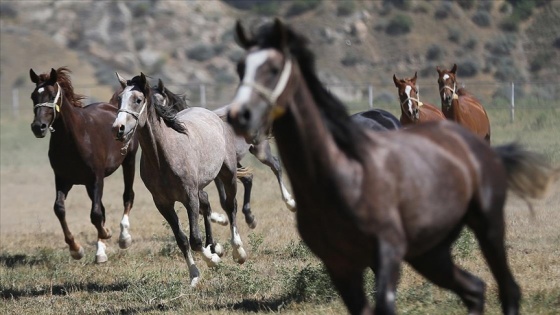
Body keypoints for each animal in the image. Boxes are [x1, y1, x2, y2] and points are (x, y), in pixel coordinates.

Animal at [29, 66, 139, 264]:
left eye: (51, 95)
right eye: (33, 96)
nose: (38, 127)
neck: (73, 139)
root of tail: (112, 106)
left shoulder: (97, 178)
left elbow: (95, 214)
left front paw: (108, 233)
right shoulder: (63, 179)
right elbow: (60, 209)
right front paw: (76, 249)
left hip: (129, 161)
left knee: (128, 196)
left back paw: (123, 238)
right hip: (88, 184)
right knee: (102, 209)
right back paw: (100, 253)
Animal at [111, 73, 247, 288]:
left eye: (138, 100)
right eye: (118, 99)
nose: (118, 128)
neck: (163, 156)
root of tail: (210, 114)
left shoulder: (189, 197)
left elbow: (195, 240)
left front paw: (213, 261)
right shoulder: (163, 203)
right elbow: (182, 239)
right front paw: (195, 275)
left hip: (228, 174)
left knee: (230, 206)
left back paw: (238, 252)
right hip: (201, 186)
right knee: (207, 204)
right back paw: (215, 247)